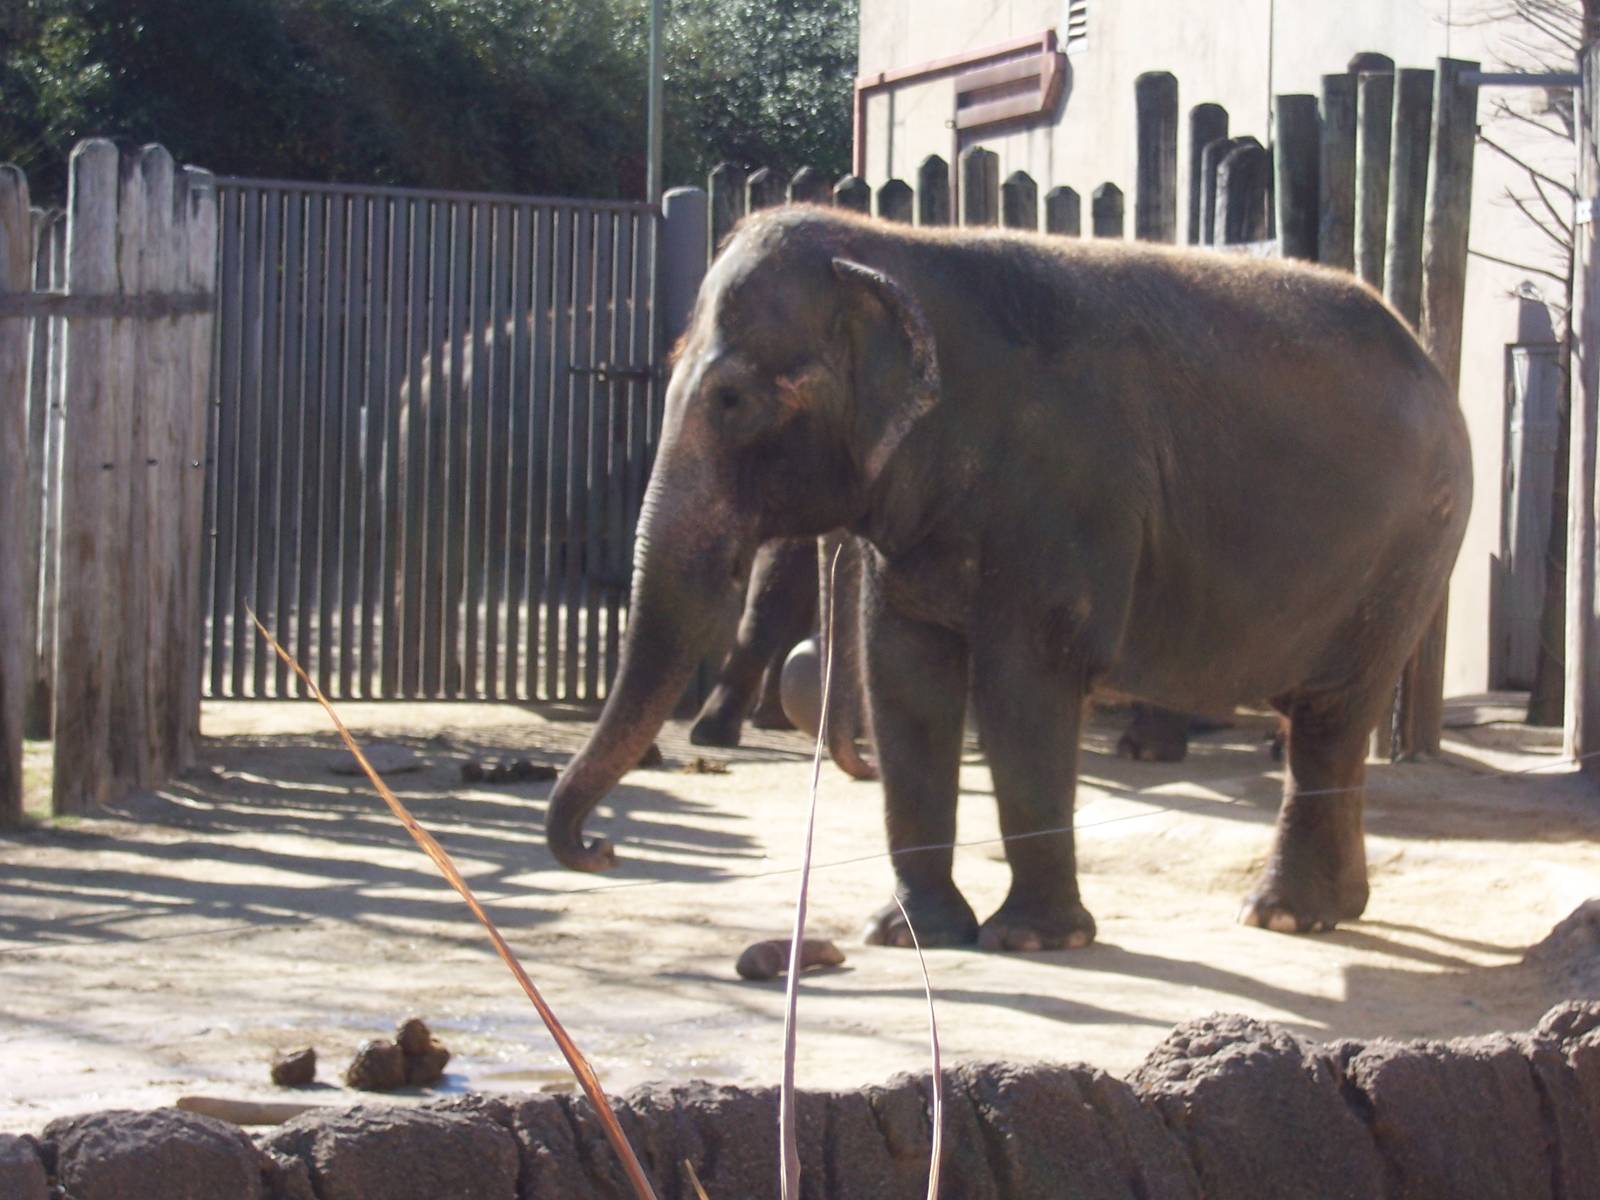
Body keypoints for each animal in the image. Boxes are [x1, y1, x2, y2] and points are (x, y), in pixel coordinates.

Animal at [544, 205, 1472, 951]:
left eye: (732, 400)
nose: (601, 849)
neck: (898, 250)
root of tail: (1431, 361)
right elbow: (905, 678)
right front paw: (909, 934)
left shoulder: (1066, 490)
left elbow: (1024, 683)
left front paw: (1034, 941)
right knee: (1327, 723)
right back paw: (1335, 910)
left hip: (1412, 548)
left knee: (1329, 718)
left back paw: (1279, 916)